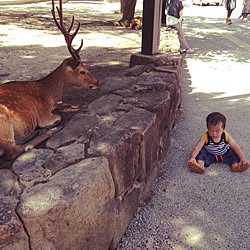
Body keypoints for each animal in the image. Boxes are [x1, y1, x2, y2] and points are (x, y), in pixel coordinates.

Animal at [0, 0, 98, 160]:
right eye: (82, 71)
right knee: (13, 150)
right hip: (5, 124)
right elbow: (57, 116)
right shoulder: (43, 114)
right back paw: (47, 131)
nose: (96, 82)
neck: (49, 95)